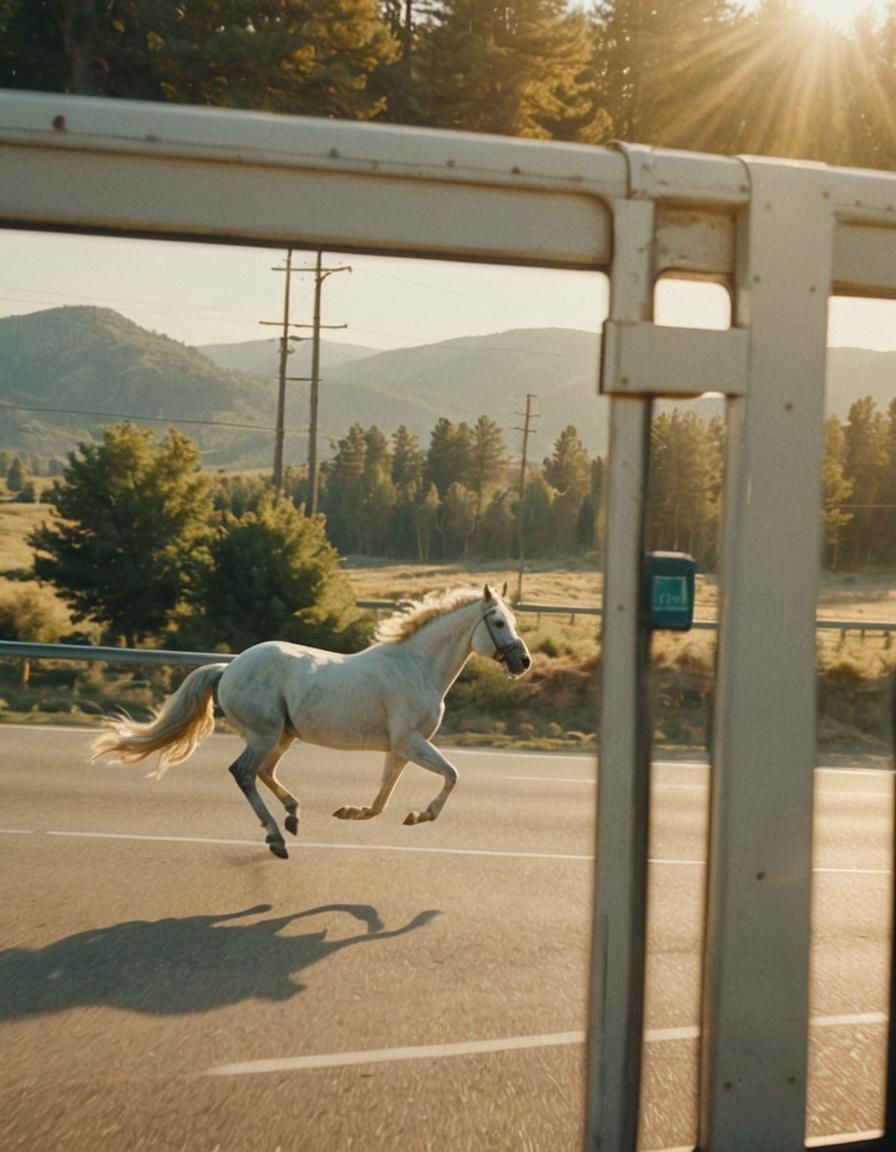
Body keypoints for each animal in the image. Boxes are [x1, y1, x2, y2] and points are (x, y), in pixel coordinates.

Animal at [91, 584, 531, 858]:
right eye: (497, 622)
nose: (523, 661)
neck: (416, 667)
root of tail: (229, 667)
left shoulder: (401, 746)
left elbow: (383, 796)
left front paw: (355, 812)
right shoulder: (410, 741)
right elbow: (452, 774)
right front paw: (423, 814)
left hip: (282, 735)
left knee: (264, 772)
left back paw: (292, 815)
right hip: (265, 733)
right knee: (243, 772)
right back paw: (276, 836)